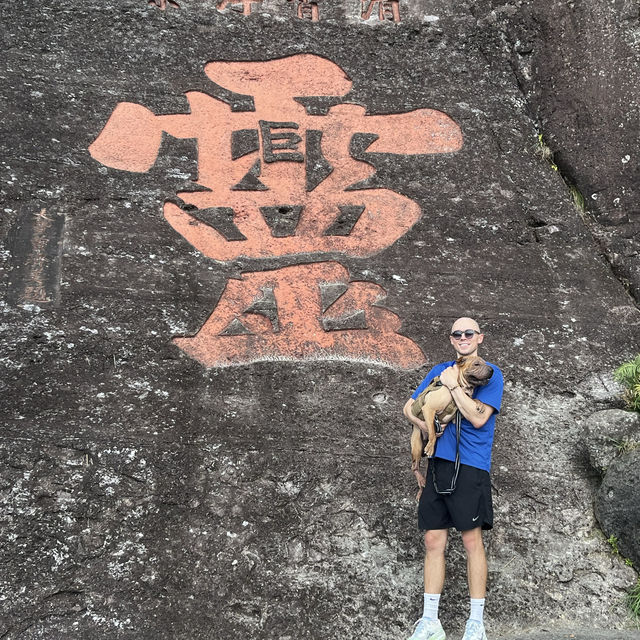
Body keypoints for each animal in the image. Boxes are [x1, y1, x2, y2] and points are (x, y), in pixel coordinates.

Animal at [408, 358, 492, 498]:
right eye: (476, 364)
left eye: (486, 363)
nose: (492, 370)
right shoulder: (429, 409)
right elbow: (432, 432)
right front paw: (431, 446)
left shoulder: (459, 413)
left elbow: (472, 400)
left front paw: (479, 403)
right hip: (417, 446)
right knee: (414, 467)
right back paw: (421, 481)